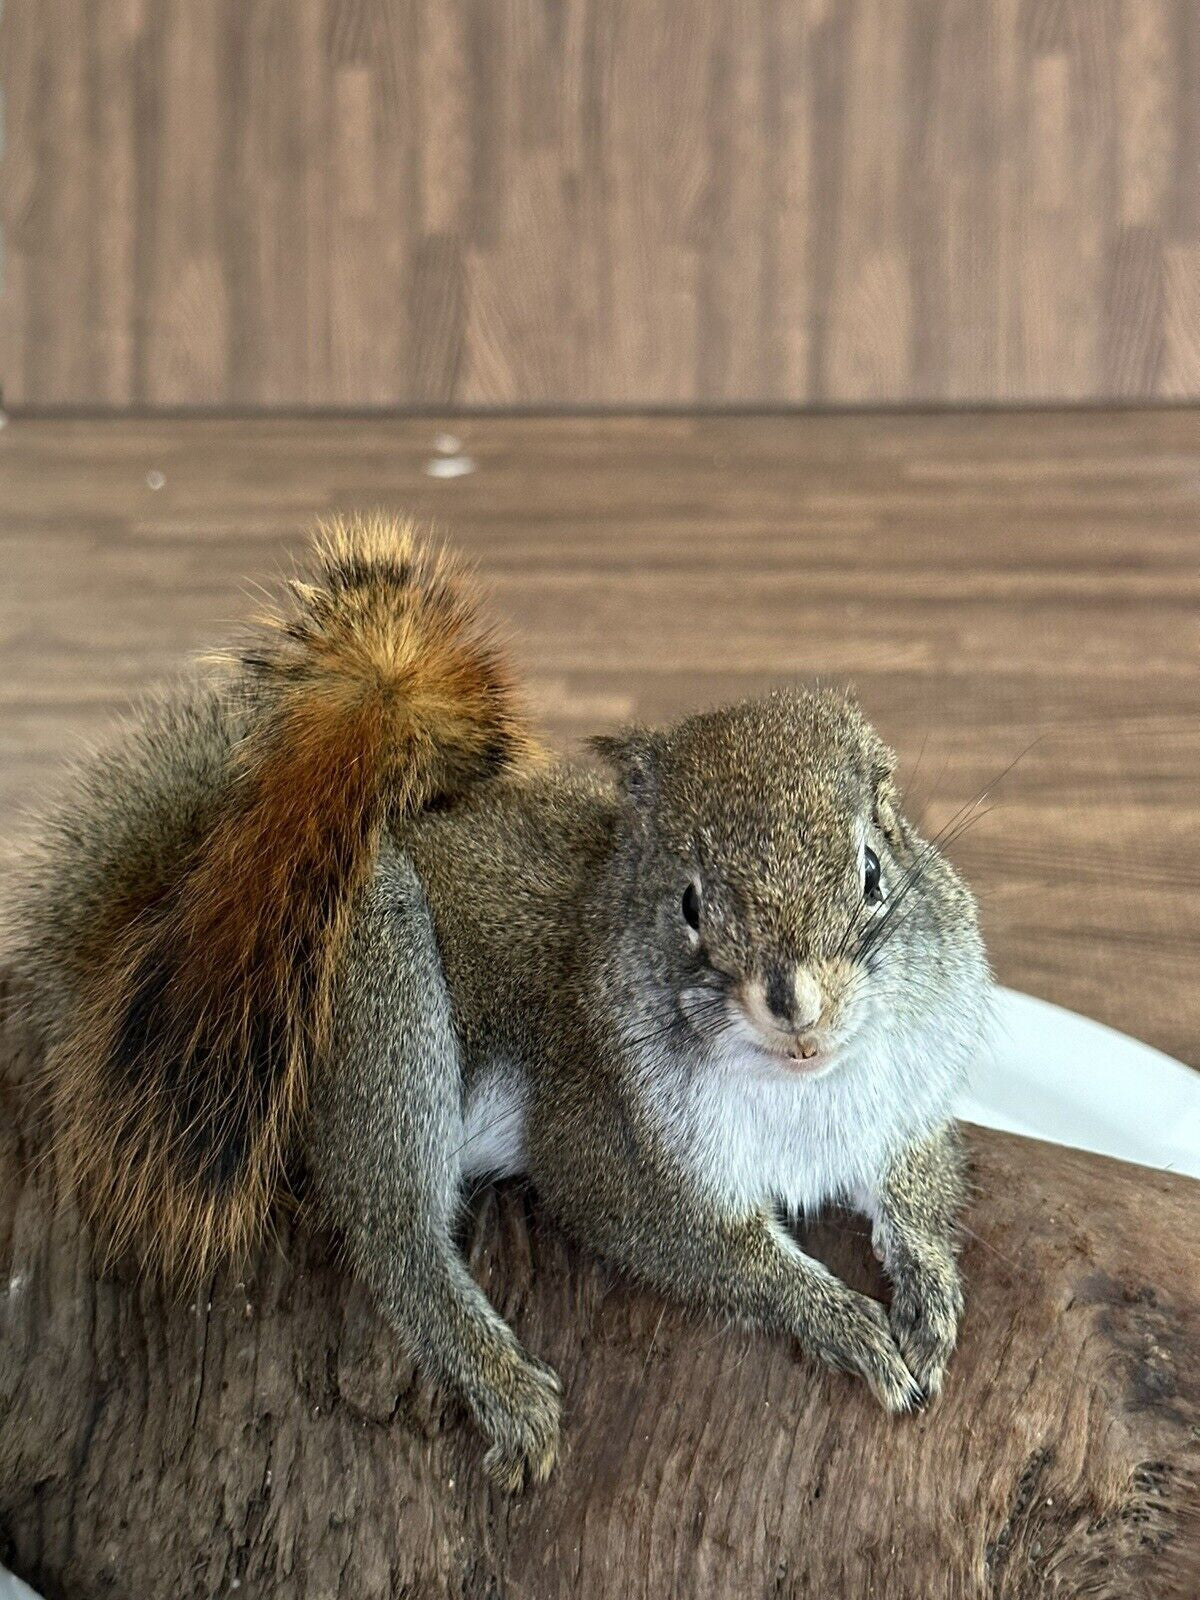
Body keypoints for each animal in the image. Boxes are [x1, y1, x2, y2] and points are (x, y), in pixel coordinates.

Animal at [11, 514, 991, 1492]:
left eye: (873, 870)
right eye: (687, 904)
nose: (796, 1006)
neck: (803, 1088)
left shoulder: (898, 1099)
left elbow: (916, 1179)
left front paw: (930, 1286)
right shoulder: (604, 1150)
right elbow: (721, 1255)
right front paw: (840, 1320)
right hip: (377, 997)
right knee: (395, 1238)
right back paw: (497, 1378)